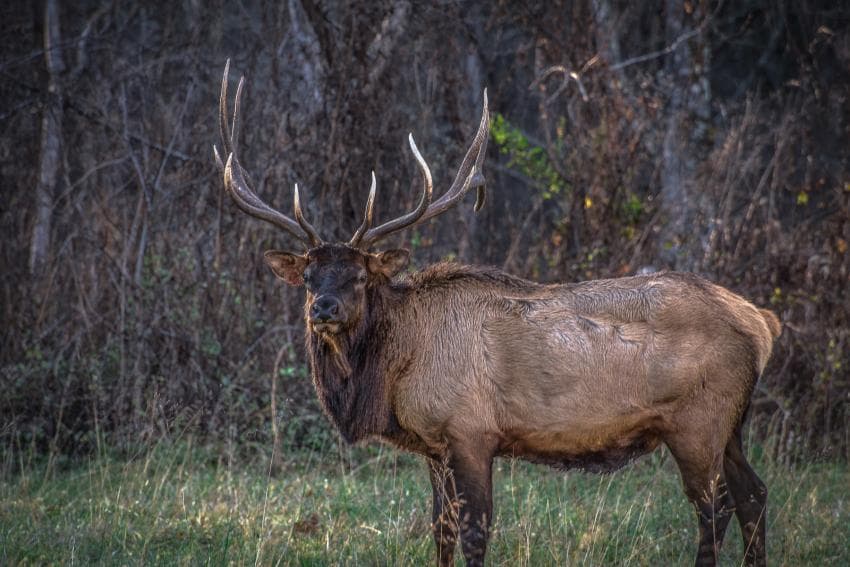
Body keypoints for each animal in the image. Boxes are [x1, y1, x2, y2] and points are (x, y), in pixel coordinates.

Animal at [214, 61, 780, 567]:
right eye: (310, 276)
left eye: (359, 276)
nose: (323, 309)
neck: (396, 367)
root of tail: (762, 325)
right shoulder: (434, 446)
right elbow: (440, 531)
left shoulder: (471, 431)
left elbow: (473, 532)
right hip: (730, 422)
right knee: (754, 494)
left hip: (697, 420)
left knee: (715, 509)